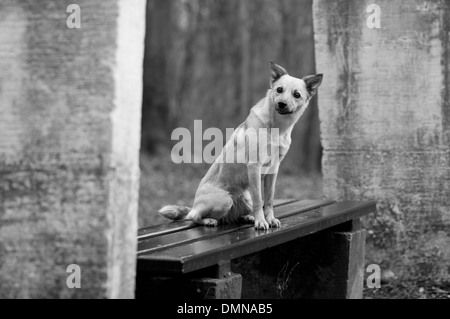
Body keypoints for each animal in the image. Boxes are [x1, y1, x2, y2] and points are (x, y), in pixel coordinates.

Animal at [160, 60, 322, 230]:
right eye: (279, 89)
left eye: (297, 95)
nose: (282, 104)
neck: (277, 128)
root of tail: (194, 205)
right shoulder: (254, 167)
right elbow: (259, 200)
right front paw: (261, 221)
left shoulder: (273, 170)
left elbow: (269, 200)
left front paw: (270, 219)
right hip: (225, 200)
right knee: (193, 216)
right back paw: (209, 220)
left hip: (245, 198)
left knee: (232, 216)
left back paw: (246, 217)